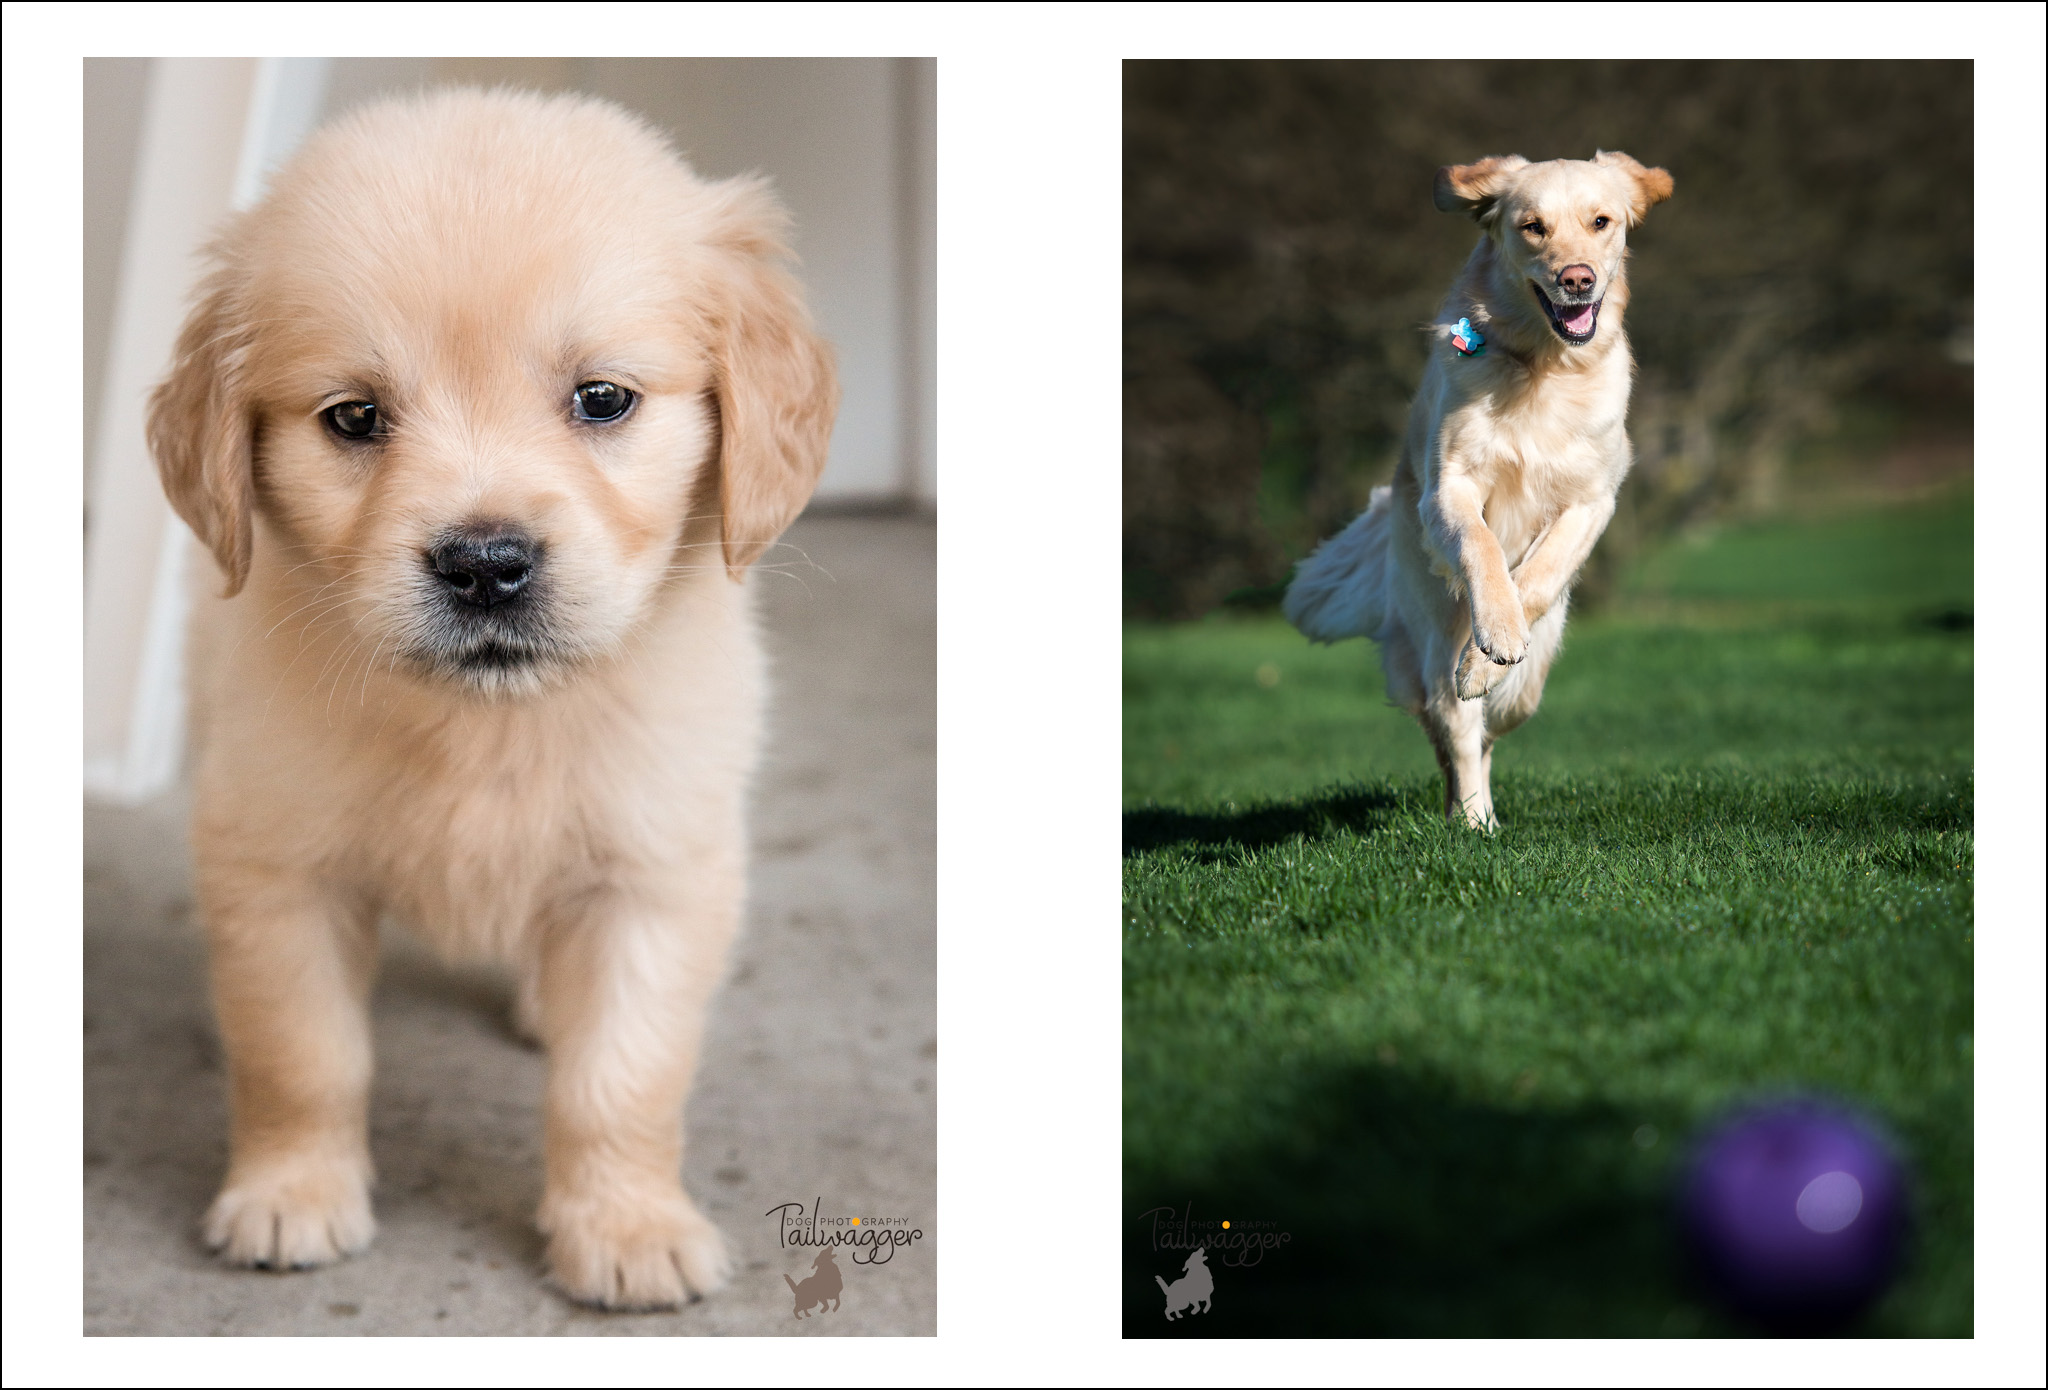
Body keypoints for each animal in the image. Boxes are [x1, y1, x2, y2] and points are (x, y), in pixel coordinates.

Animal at [144, 92, 835, 1310]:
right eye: (353, 418)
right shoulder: (274, 866)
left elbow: (621, 1076)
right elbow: (302, 1055)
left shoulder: (657, 872)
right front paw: (291, 1190)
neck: (487, 722)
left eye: (602, 400)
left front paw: (628, 1225)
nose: (483, 565)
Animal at [1286, 152, 1671, 827]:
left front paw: (1496, 644)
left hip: (1534, 682)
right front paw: (1496, 627)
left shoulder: (1594, 497)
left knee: (1492, 725)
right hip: (1430, 631)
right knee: (1457, 733)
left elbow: (1539, 574)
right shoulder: (1449, 486)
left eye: (1600, 222)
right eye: (1532, 226)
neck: (1543, 365)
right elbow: (1481, 546)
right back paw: (1469, 819)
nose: (1577, 280)